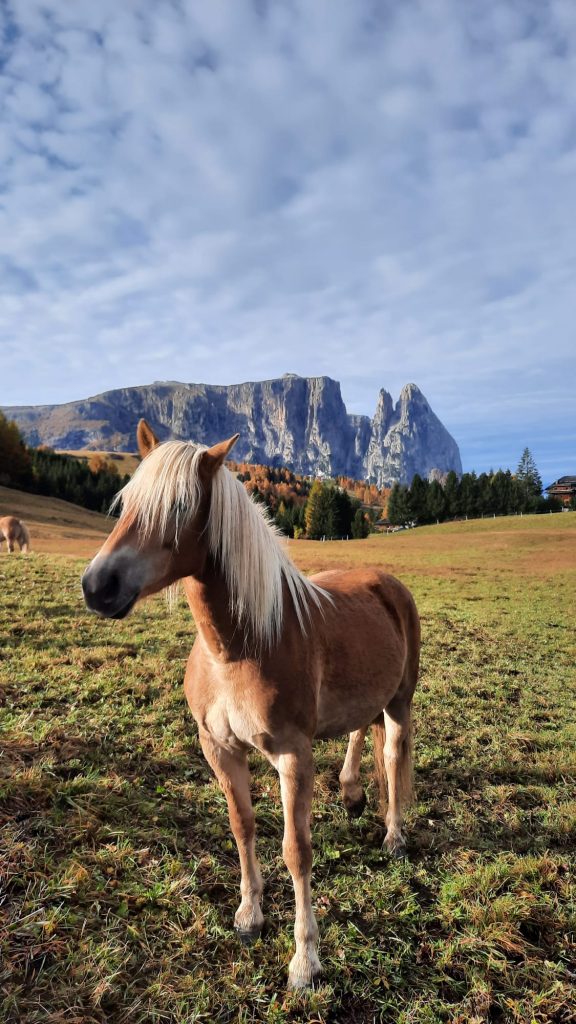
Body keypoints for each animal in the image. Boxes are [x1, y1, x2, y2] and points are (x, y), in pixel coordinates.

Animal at [80, 419, 420, 987]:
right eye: (125, 502)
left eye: (179, 507)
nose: (97, 585)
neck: (239, 647)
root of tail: (387, 582)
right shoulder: (219, 749)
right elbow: (242, 828)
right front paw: (249, 915)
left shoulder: (292, 756)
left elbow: (296, 850)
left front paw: (305, 960)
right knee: (359, 728)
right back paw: (351, 792)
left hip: (400, 700)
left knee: (393, 754)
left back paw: (393, 835)